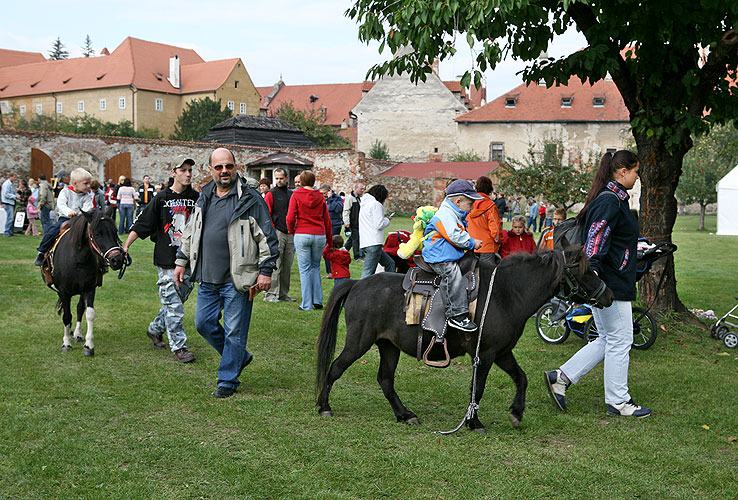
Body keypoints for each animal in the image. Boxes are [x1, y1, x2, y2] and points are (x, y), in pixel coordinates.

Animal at [48, 209, 125, 358]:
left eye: (115, 232)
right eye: (97, 234)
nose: (117, 260)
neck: (78, 260)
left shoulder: (89, 289)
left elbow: (89, 314)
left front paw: (89, 346)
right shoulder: (64, 292)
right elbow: (67, 316)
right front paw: (66, 343)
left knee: (79, 308)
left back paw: (77, 334)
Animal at [314, 248, 612, 432]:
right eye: (585, 270)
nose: (608, 296)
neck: (506, 293)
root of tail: (357, 284)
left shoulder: (502, 352)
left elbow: (521, 377)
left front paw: (516, 413)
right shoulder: (486, 354)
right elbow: (477, 388)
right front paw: (474, 422)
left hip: (389, 347)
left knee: (385, 380)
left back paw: (405, 414)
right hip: (358, 342)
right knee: (335, 369)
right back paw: (324, 407)